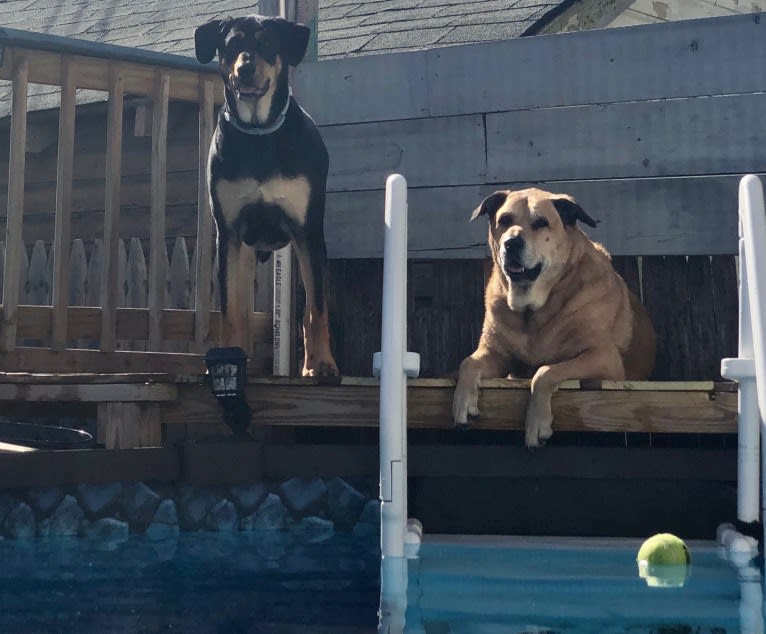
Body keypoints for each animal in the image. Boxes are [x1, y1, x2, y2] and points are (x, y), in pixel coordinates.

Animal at [195, 13, 340, 376]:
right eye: (231, 44)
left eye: (268, 44)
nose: (245, 68)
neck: (259, 134)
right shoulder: (229, 233)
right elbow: (231, 310)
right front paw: (228, 355)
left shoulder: (308, 231)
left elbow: (317, 311)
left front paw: (325, 365)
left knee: (308, 310)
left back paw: (311, 364)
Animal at [452, 186, 656, 444]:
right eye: (505, 220)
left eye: (541, 222)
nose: (511, 242)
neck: (532, 309)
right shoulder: (496, 353)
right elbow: (468, 362)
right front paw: (462, 404)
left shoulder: (603, 358)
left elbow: (546, 371)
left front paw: (537, 422)